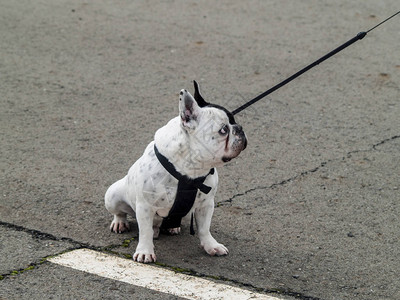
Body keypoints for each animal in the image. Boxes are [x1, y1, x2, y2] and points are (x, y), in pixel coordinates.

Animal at [104, 81, 245, 262]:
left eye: (234, 121)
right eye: (223, 130)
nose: (239, 128)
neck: (192, 167)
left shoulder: (206, 204)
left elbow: (204, 228)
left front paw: (211, 245)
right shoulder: (145, 206)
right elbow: (145, 232)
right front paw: (145, 251)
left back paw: (173, 227)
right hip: (113, 195)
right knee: (121, 213)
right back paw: (120, 223)